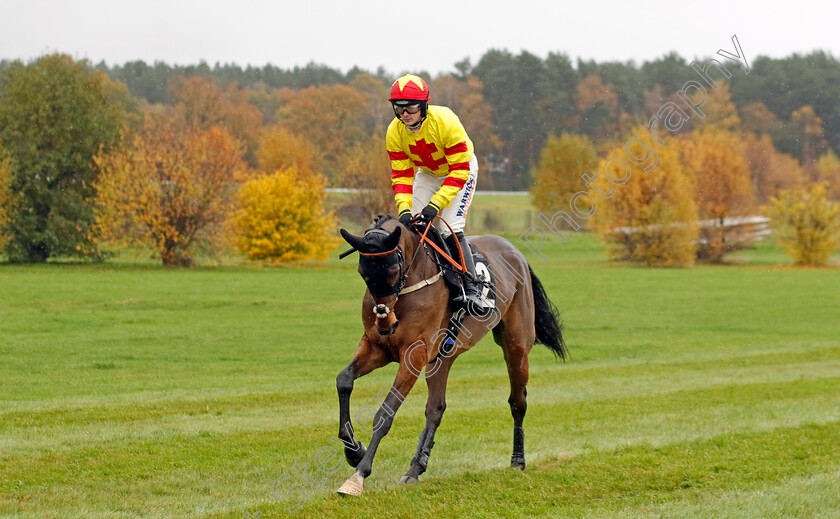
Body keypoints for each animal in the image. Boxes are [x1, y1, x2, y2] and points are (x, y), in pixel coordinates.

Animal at [334, 214, 564, 496]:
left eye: (392, 271)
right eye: (363, 273)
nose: (386, 323)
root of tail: (516, 252)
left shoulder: (413, 356)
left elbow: (385, 413)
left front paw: (358, 475)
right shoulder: (377, 348)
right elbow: (344, 380)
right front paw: (354, 451)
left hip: (516, 347)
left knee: (517, 402)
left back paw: (518, 460)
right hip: (442, 357)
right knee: (436, 408)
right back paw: (415, 469)